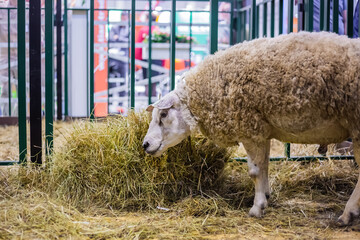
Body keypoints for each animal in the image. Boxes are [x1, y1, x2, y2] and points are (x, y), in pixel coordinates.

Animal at [142, 31, 360, 225]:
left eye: (163, 115)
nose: (145, 144)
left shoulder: (249, 129)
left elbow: (255, 171)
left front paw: (257, 207)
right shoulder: (262, 131)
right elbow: (264, 166)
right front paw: (266, 196)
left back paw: (347, 214)